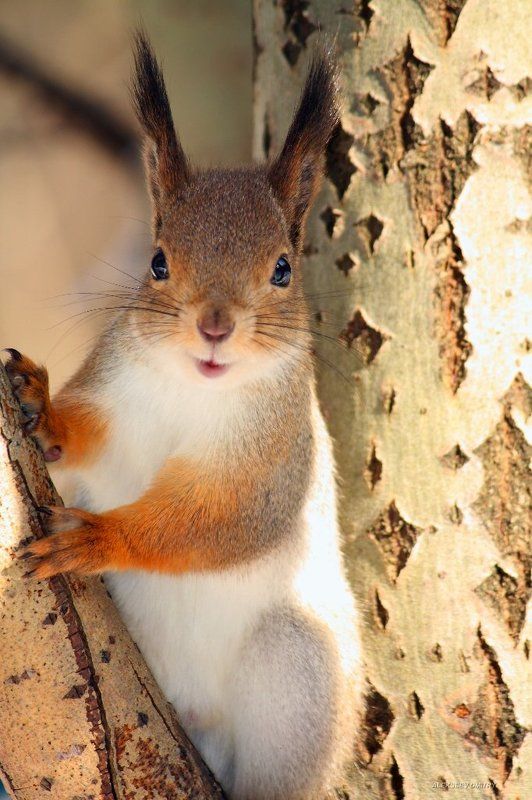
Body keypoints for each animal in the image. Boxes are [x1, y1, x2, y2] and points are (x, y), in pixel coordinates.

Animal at [5, 32, 363, 800]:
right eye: (158, 261)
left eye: (283, 269)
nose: (214, 327)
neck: (192, 390)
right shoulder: (117, 397)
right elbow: (84, 441)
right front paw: (37, 404)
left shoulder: (271, 459)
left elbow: (213, 520)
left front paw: (100, 539)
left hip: (298, 677)